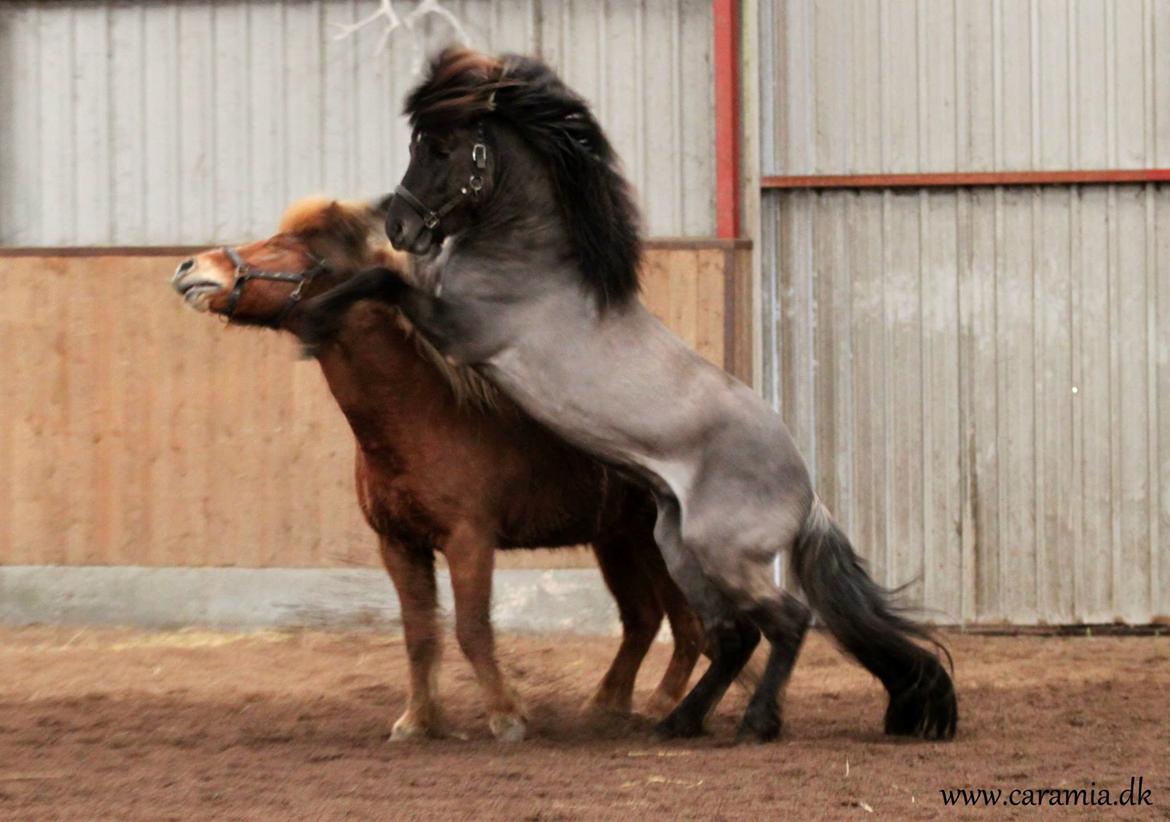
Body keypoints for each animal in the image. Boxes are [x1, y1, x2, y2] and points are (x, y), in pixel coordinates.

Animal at [171, 196, 702, 743]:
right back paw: (609, 705)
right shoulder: (399, 545)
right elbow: (419, 634)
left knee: (690, 626)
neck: (424, 414)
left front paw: (506, 716)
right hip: (620, 539)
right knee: (647, 619)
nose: (190, 268)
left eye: (283, 247)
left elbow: (471, 629)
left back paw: (663, 705)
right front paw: (419, 720)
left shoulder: (469, 541)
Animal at [297, 48, 954, 743]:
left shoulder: (462, 330)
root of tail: (807, 493)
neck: (529, 260)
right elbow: (387, 274)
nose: (400, 225)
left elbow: (381, 280)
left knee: (785, 620)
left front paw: (312, 319)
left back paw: (756, 722)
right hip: (679, 548)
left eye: (444, 147)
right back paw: (680, 721)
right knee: (733, 635)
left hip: (721, 552)